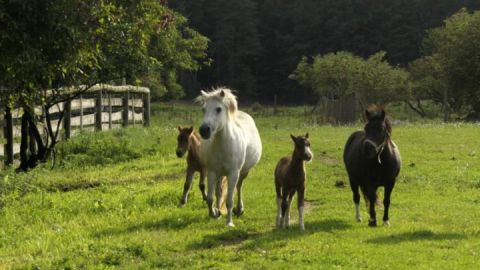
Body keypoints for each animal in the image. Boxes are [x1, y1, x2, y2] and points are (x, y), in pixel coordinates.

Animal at [196, 87, 262, 227]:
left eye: (218, 109)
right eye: (203, 109)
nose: (204, 130)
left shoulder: (233, 173)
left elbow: (229, 200)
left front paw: (229, 223)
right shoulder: (212, 172)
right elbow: (210, 198)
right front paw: (215, 213)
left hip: (242, 172)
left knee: (239, 187)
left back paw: (239, 209)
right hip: (220, 174)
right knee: (218, 191)